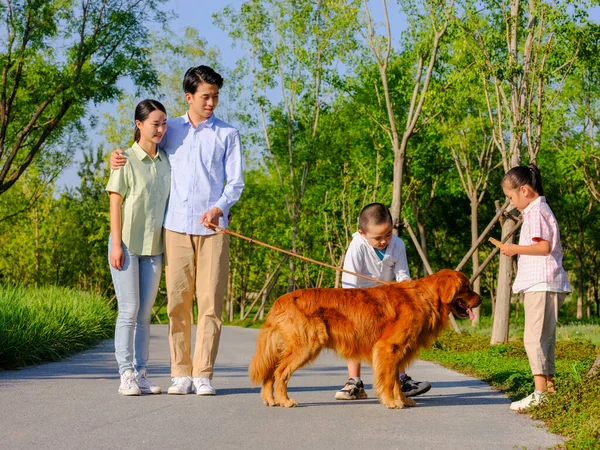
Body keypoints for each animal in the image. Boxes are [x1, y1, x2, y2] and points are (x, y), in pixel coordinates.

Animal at [250, 268, 482, 410]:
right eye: (466, 286)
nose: (481, 298)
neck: (424, 298)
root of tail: (281, 300)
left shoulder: (396, 352)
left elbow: (396, 381)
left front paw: (402, 400)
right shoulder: (387, 348)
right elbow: (387, 380)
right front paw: (391, 402)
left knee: (270, 373)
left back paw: (270, 400)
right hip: (306, 345)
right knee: (280, 373)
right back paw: (285, 400)